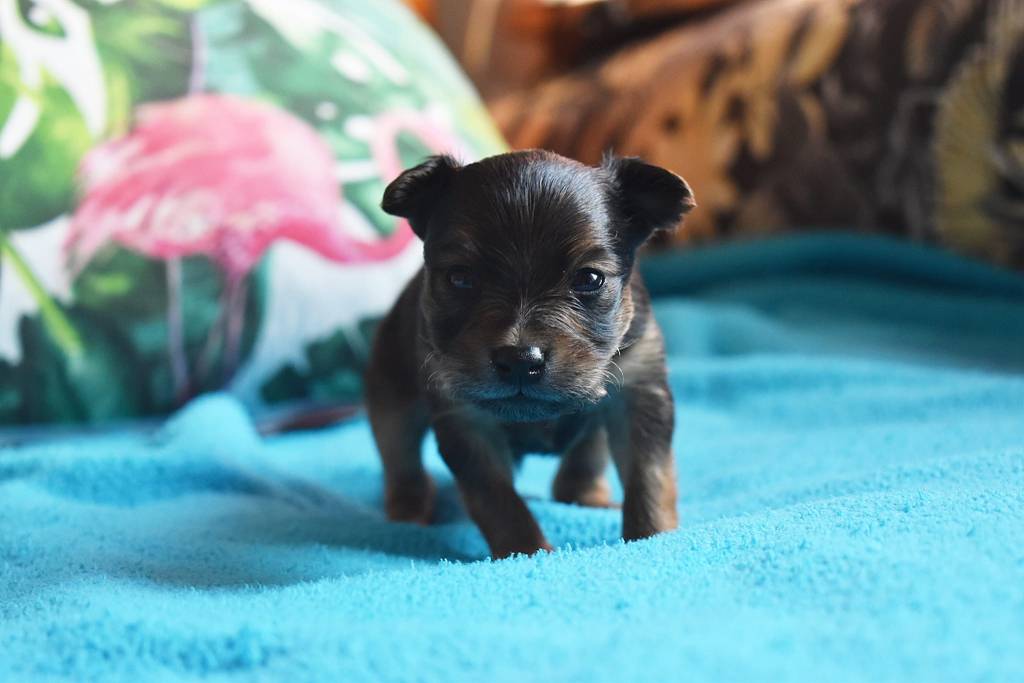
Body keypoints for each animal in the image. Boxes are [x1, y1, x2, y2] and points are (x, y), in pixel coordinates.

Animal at [366, 149, 695, 559]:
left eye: (590, 279)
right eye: (460, 278)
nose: (521, 360)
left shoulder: (639, 391)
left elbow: (650, 478)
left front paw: (654, 538)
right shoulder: (466, 420)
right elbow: (498, 500)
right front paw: (526, 552)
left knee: (587, 452)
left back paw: (588, 496)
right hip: (390, 396)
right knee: (400, 459)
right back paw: (408, 514)